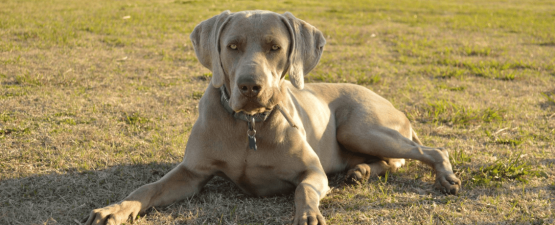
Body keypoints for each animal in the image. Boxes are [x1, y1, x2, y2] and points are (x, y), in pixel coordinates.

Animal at [84, 10, 462, 225]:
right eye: (232, 46)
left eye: (275, 47)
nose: (250, 86)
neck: (249, 125)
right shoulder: (191, 173)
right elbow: (147, 188)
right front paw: (115, 209)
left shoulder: (312, 171)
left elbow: (304, 190)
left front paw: (309, 214)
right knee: (389, 160)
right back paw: (361, 172)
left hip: (360, 126)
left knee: (430, 150)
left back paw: (445, 177)